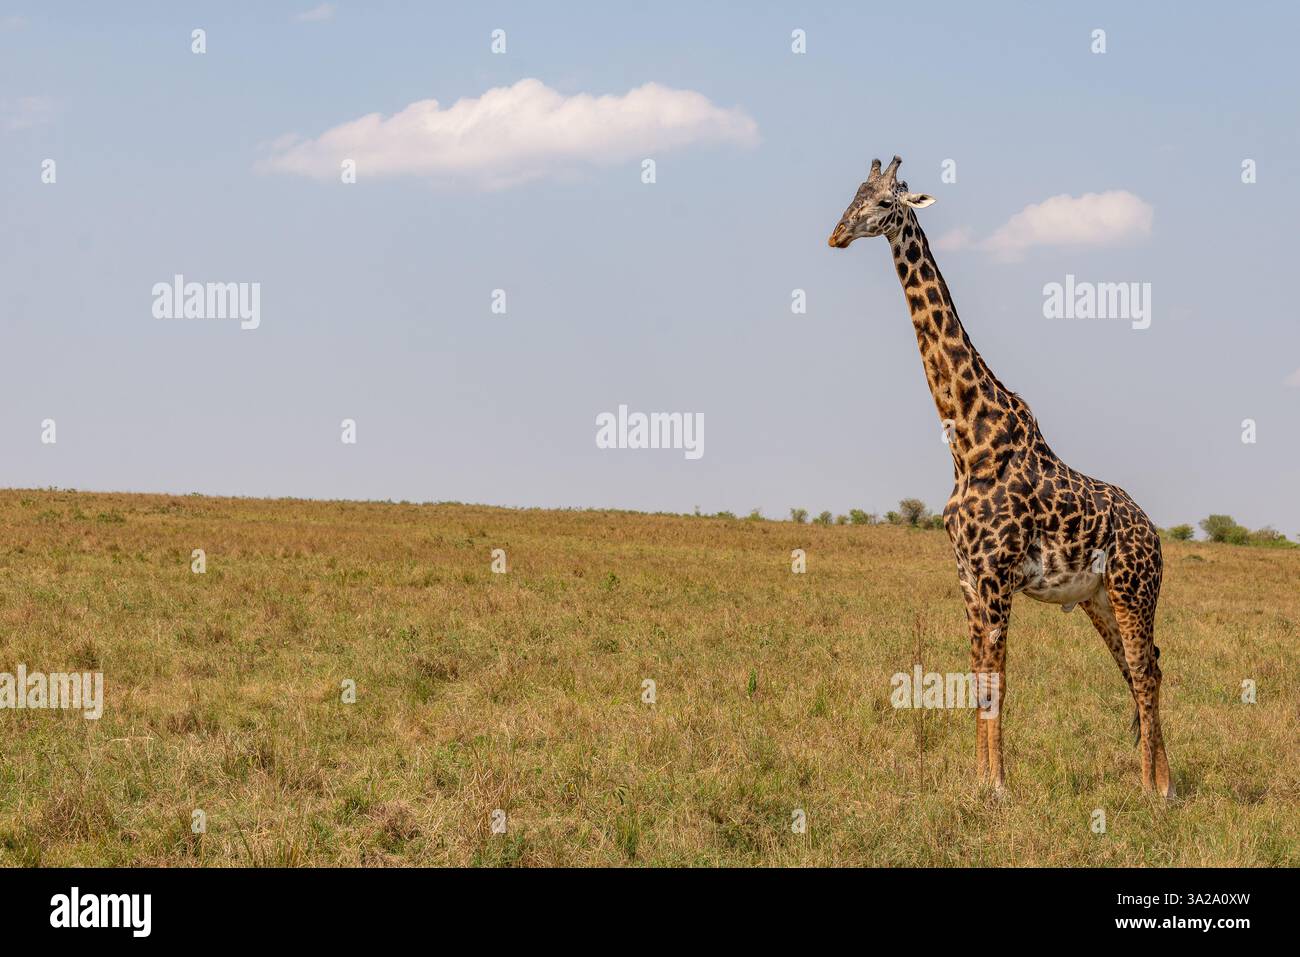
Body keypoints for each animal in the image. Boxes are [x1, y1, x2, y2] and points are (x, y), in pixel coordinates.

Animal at [828, 156, 1173, 799]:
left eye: (885, 202)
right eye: (853, 193)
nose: (836, 234)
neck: (968, 442)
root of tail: (1156, 534)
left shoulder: (994, 576)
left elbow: (998, 683)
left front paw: (998, 788)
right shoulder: (967, 576)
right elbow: (978, 679)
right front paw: (980, 783)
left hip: (1134, 589)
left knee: (1144, 669)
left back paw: (1155, 790)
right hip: (1098, 598)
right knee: (1146, 666)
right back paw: (1157, 778)